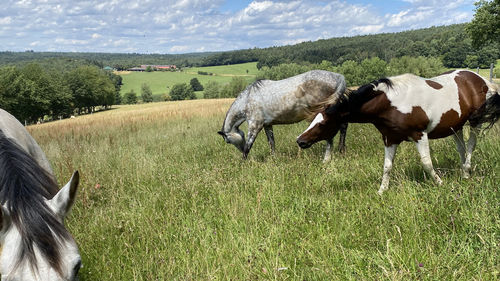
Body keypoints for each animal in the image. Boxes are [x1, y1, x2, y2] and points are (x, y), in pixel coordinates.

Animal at [217, 69, 350, 160]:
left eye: (228, 141)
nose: (239, 150)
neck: (248, 99)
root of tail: (338, 77)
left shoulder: (255, 126)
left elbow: (248, 146)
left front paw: (243, 161)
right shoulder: (267, 125)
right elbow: (271, 143)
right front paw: (273, 158)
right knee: (343, 127)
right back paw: (341, 150)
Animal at [296, 69, 500, 194]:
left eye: (322, 123)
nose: (300, 141)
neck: (391, 103)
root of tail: (481, 80)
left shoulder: (420, 135)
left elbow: (427, 163)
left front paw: (440, 183)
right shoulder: (390, 139)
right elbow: (387, 167)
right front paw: (381, 191)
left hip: (475, 122)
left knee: (471, 146)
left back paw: (466, 171)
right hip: (455, 126)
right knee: (461, 148)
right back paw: (464, 174)